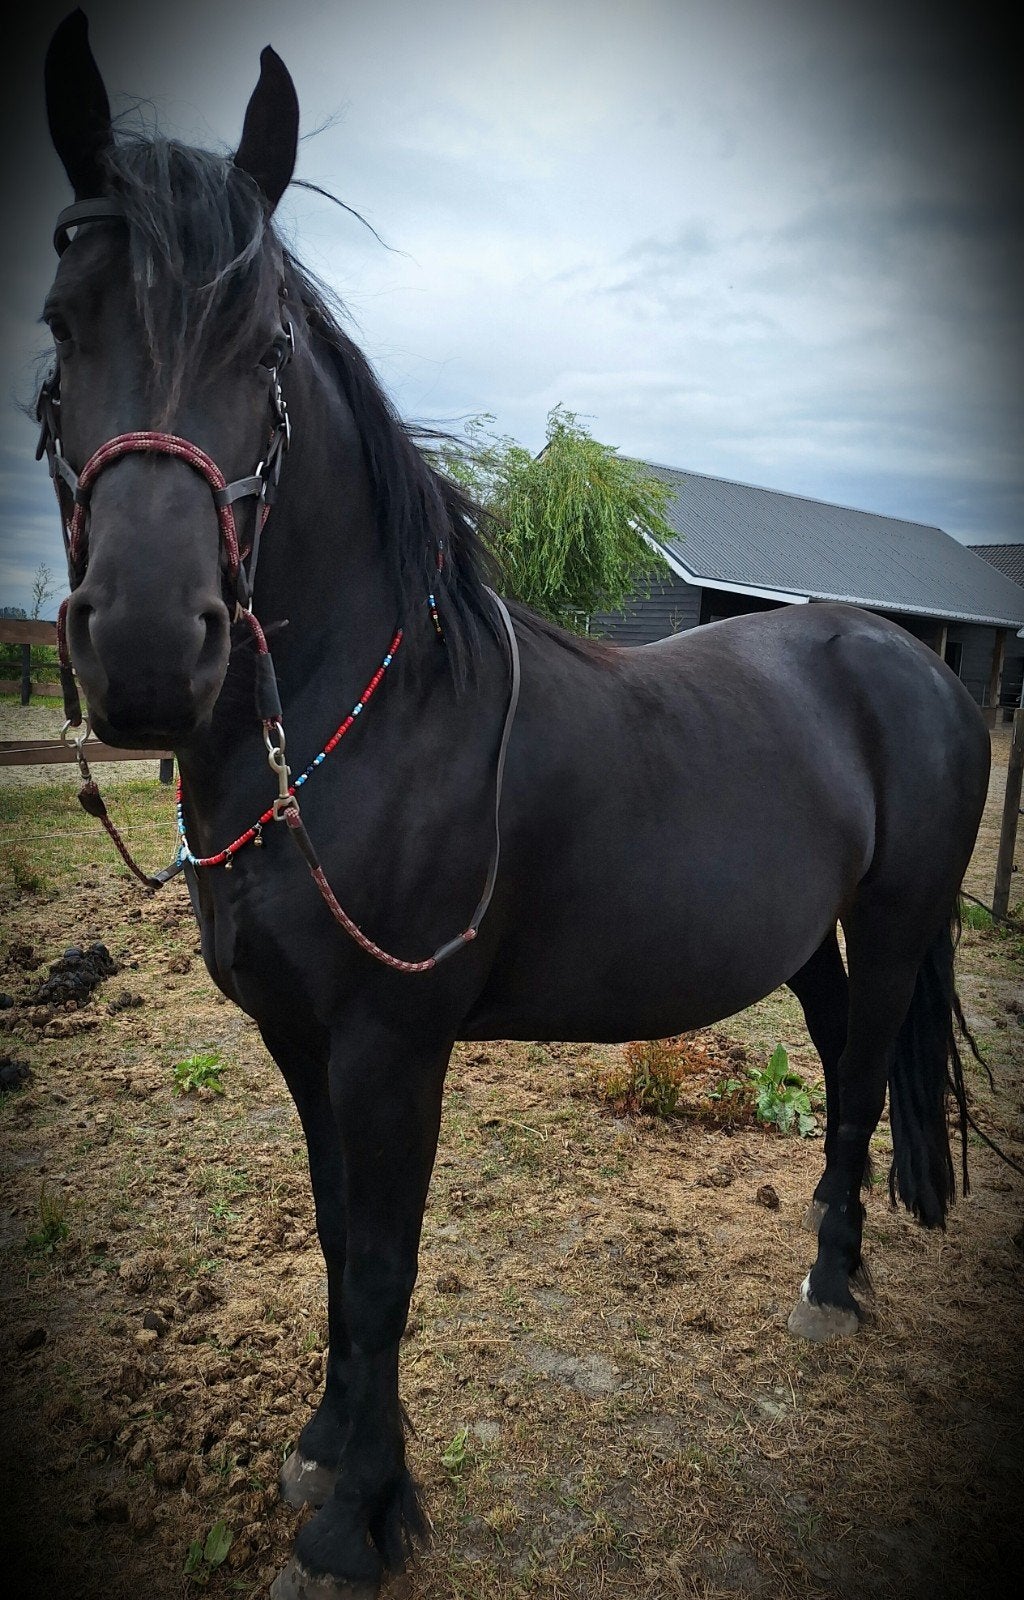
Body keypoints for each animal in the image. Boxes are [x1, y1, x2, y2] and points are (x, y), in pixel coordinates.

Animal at [38, 12, 990, 1598]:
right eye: (62, 320)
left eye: (265, 342)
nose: (154, 652)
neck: (367, 726)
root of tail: (912, 661)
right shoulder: (302, 1042)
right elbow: (334, 1240)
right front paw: (332, 1454)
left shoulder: (391, 1043)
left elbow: (381, 1265)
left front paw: (354, 1524)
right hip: (810, 940)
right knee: (839, 1054)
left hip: (906, 918)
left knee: (859, 1085)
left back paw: (831, 1284)